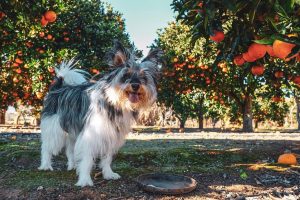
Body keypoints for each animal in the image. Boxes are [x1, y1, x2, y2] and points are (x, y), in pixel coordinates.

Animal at [38, 41, 163, 187]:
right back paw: (46, 165)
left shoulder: (111, 133)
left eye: (143, 77)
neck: (115, 103)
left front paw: (108, 173)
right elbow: (87, 159)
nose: (136, 85)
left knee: (70, 149)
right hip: (54, 129)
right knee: (46, 147)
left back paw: (73, 165)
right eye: (126, 76)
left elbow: (107, 158)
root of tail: (58, 87)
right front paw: (85, 179)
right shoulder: (90, 135)